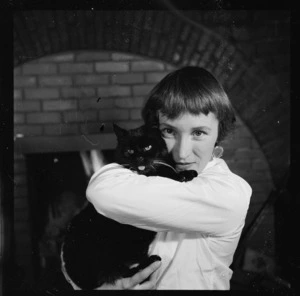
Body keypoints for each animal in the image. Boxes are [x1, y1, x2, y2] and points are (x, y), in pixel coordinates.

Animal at [61, 123, 198, 290]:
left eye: (147, 147)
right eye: (130, 151)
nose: (139, 157)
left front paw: (186, 172)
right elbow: (165, 175)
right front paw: (185, 174)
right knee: (122, 273)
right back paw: (150, 262)